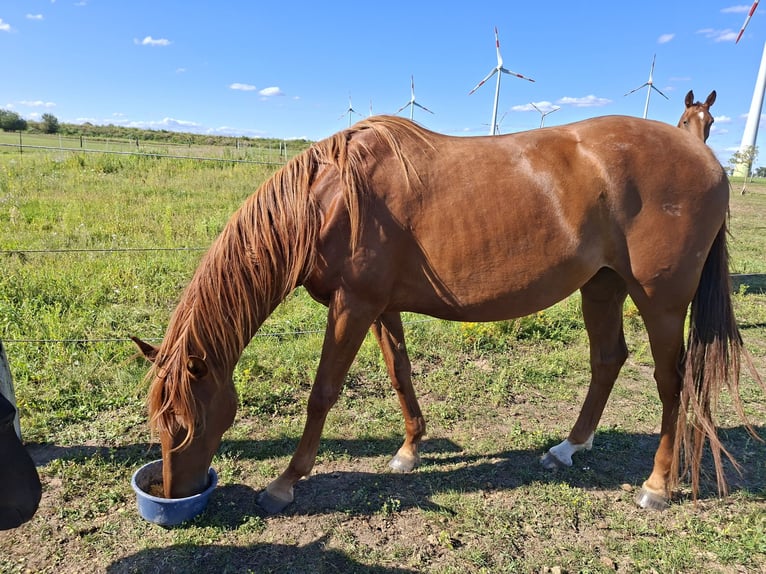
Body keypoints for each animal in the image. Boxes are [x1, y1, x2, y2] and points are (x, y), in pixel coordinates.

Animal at [133, 114, 761, 514]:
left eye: (184, 425)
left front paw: (285, 482)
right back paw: (568, 448)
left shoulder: (352, 306)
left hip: (660, 300)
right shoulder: (378, 306)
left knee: (672, 382)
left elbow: (323, 393)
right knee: (608, 359)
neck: (332, 198)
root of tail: (704, 157)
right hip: (601, 287)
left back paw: (657, 485)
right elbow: (400, 374)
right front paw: (409, 450)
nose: (169, 493)